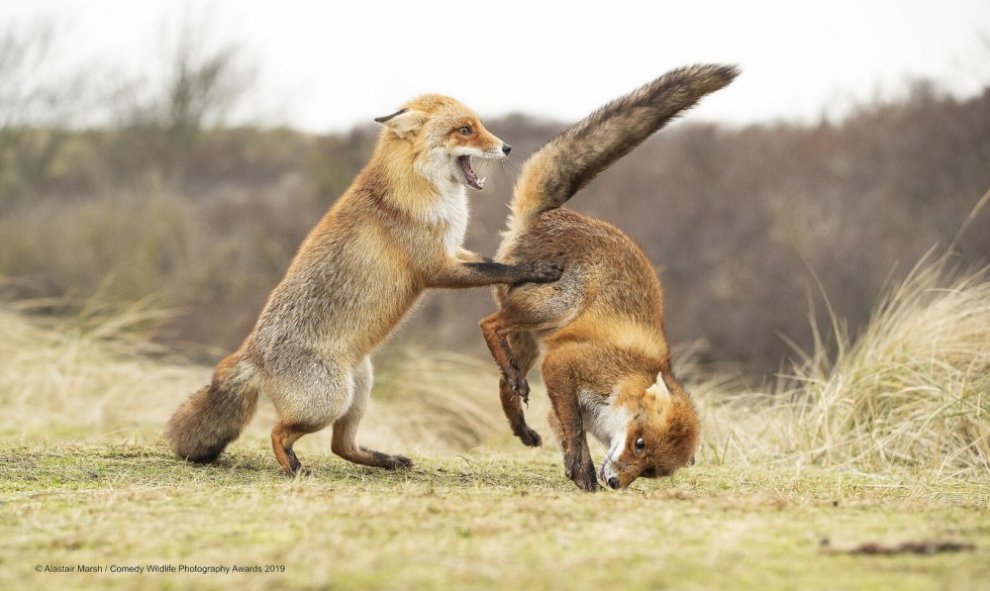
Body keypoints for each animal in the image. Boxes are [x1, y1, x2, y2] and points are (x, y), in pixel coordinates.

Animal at [166, 97, 560, 476]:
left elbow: (487, 260)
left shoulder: (452, 251)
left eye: (479, 125)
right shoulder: (435, 267)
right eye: (465, 129)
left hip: (360, 388)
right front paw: (535, 269)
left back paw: (387, 461)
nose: (507, 147)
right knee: (278, 433)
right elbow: (496, 268)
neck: (420, 189)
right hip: (328, 402)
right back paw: (294, 468)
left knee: (341, 446)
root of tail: (251, 352)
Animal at [480, 65, 736, 490]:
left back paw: (521, 425)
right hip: (552, 308)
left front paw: (575, 469)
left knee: (503, 381)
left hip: (530, 340)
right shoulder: (562, 365)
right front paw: (583, 473)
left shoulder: (560, 392)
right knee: (488, 324)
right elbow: (574, 430)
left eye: (650, 470)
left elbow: (563, 429)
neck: (626, 379)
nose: (616, 483)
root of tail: (549, 215)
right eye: (639, 443)